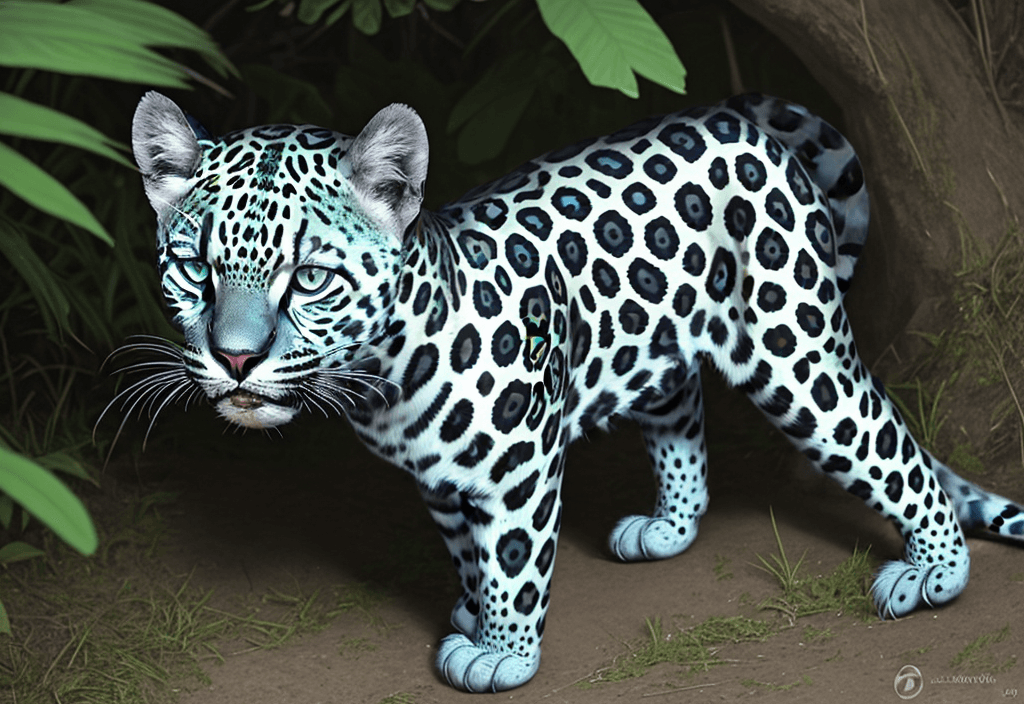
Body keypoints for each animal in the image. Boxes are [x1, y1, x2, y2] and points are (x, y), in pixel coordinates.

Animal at [120, 91, 1024, 692]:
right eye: (196, 269)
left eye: (308, 278)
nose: (236, 359)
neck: (385, 374)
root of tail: (740, 121)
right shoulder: (440, 481)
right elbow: (469, 551)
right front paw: (472, 611)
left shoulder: (519, 463)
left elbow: (516, 558)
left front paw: (503, 652)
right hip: (660, 346)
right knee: (683, 418)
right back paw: (668, 527)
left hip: (794, 349)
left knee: (888, 444)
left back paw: (935, 574)